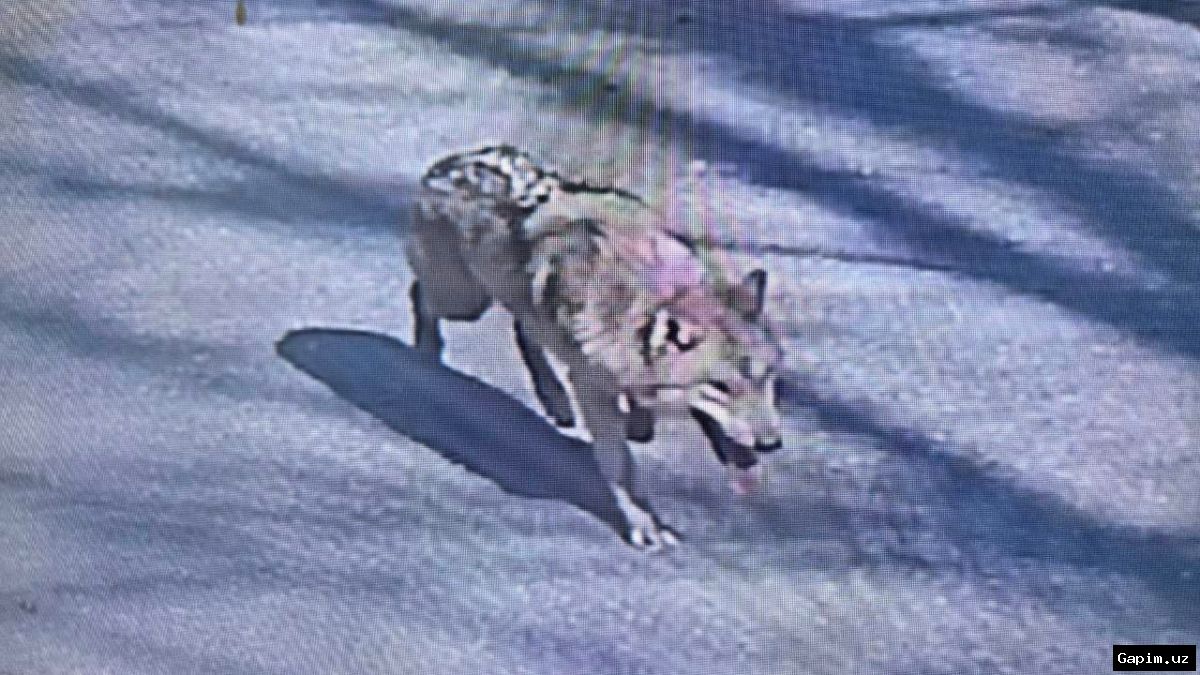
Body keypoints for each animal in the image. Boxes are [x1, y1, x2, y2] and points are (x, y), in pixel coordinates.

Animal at [406, 145, 783, 549]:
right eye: (720, 387)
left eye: (766, 378)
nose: (771, 444)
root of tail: (450, 162)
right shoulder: (593, 389)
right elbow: (621, 467)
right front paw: (646, 526)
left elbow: (639, 417)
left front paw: (639, 422)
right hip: (464, 302)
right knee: (421, 295)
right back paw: (427, 355)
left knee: (525, 330)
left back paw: (555, 400)